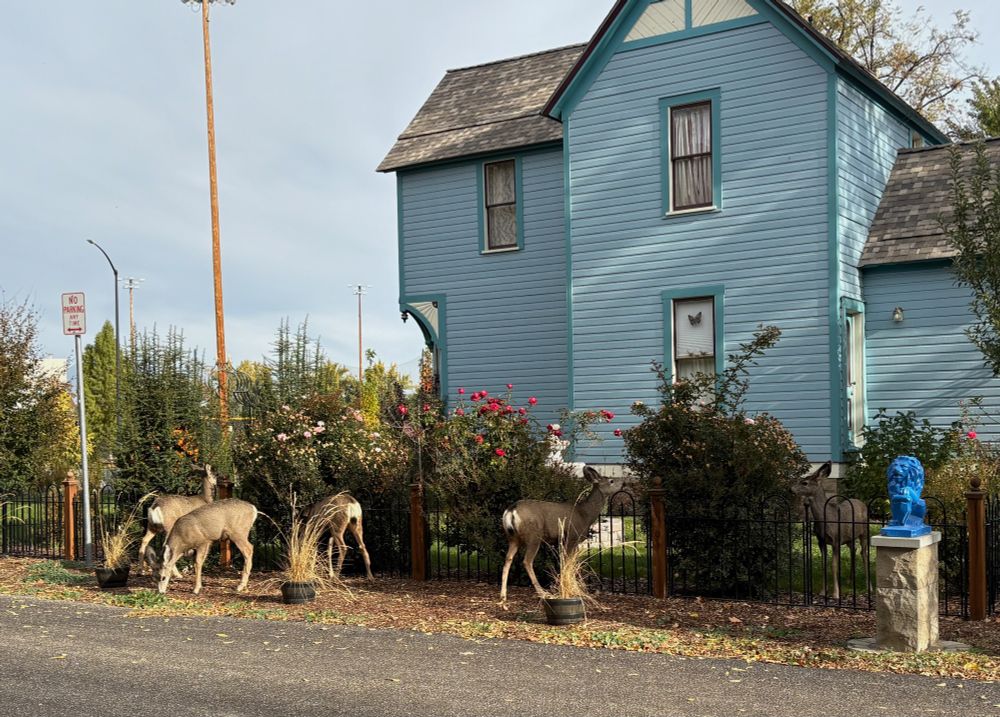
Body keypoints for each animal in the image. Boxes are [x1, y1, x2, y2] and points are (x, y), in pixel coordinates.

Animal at [499, 465, 625, 604]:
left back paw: (503, 596)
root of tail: (511, 510)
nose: (624, 483)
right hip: (534, 535)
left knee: (507, 559)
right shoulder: (572, 536)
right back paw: (542, 593)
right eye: (611, 481)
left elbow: (571, 563)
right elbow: (566, 562)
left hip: (512, 537)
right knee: (527, 561)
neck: (585, 515)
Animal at [792, 461, 871, 601]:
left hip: (864, 532)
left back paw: (869, 586)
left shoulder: (836, 539)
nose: (791, 489)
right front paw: (823, 591)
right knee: (854, 549)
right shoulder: (821, 540)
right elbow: (823, 564)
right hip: (849, 537)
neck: (825, 519)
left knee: (864, 553)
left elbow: (834, 565)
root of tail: (861, 502)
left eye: (804, 483)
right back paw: (850, 580)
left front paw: (836, 593)